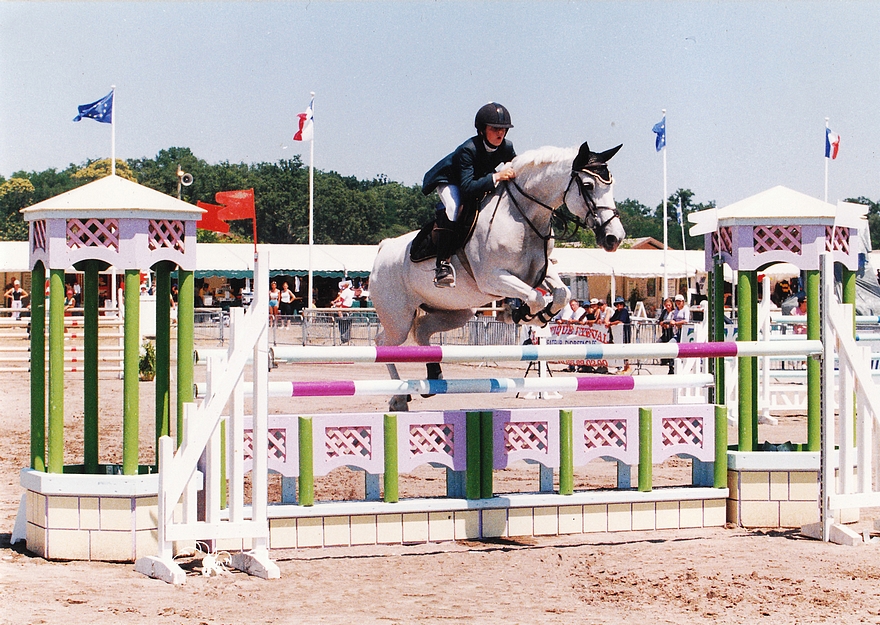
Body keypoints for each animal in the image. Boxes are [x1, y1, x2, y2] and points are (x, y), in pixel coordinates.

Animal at [372, 140, 624, 410]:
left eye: (612, 185)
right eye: (588, 185)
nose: (614, 238)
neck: (523, 216)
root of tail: (384, 248)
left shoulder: (541, 271)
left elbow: (561, 294)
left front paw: (539, 316)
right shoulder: (494, 278)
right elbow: (536, 297)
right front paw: (524, 314)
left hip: (456, 311)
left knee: (421, 331)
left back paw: (434, 378)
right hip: (398, 317)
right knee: (382, 343)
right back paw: (399, 398)